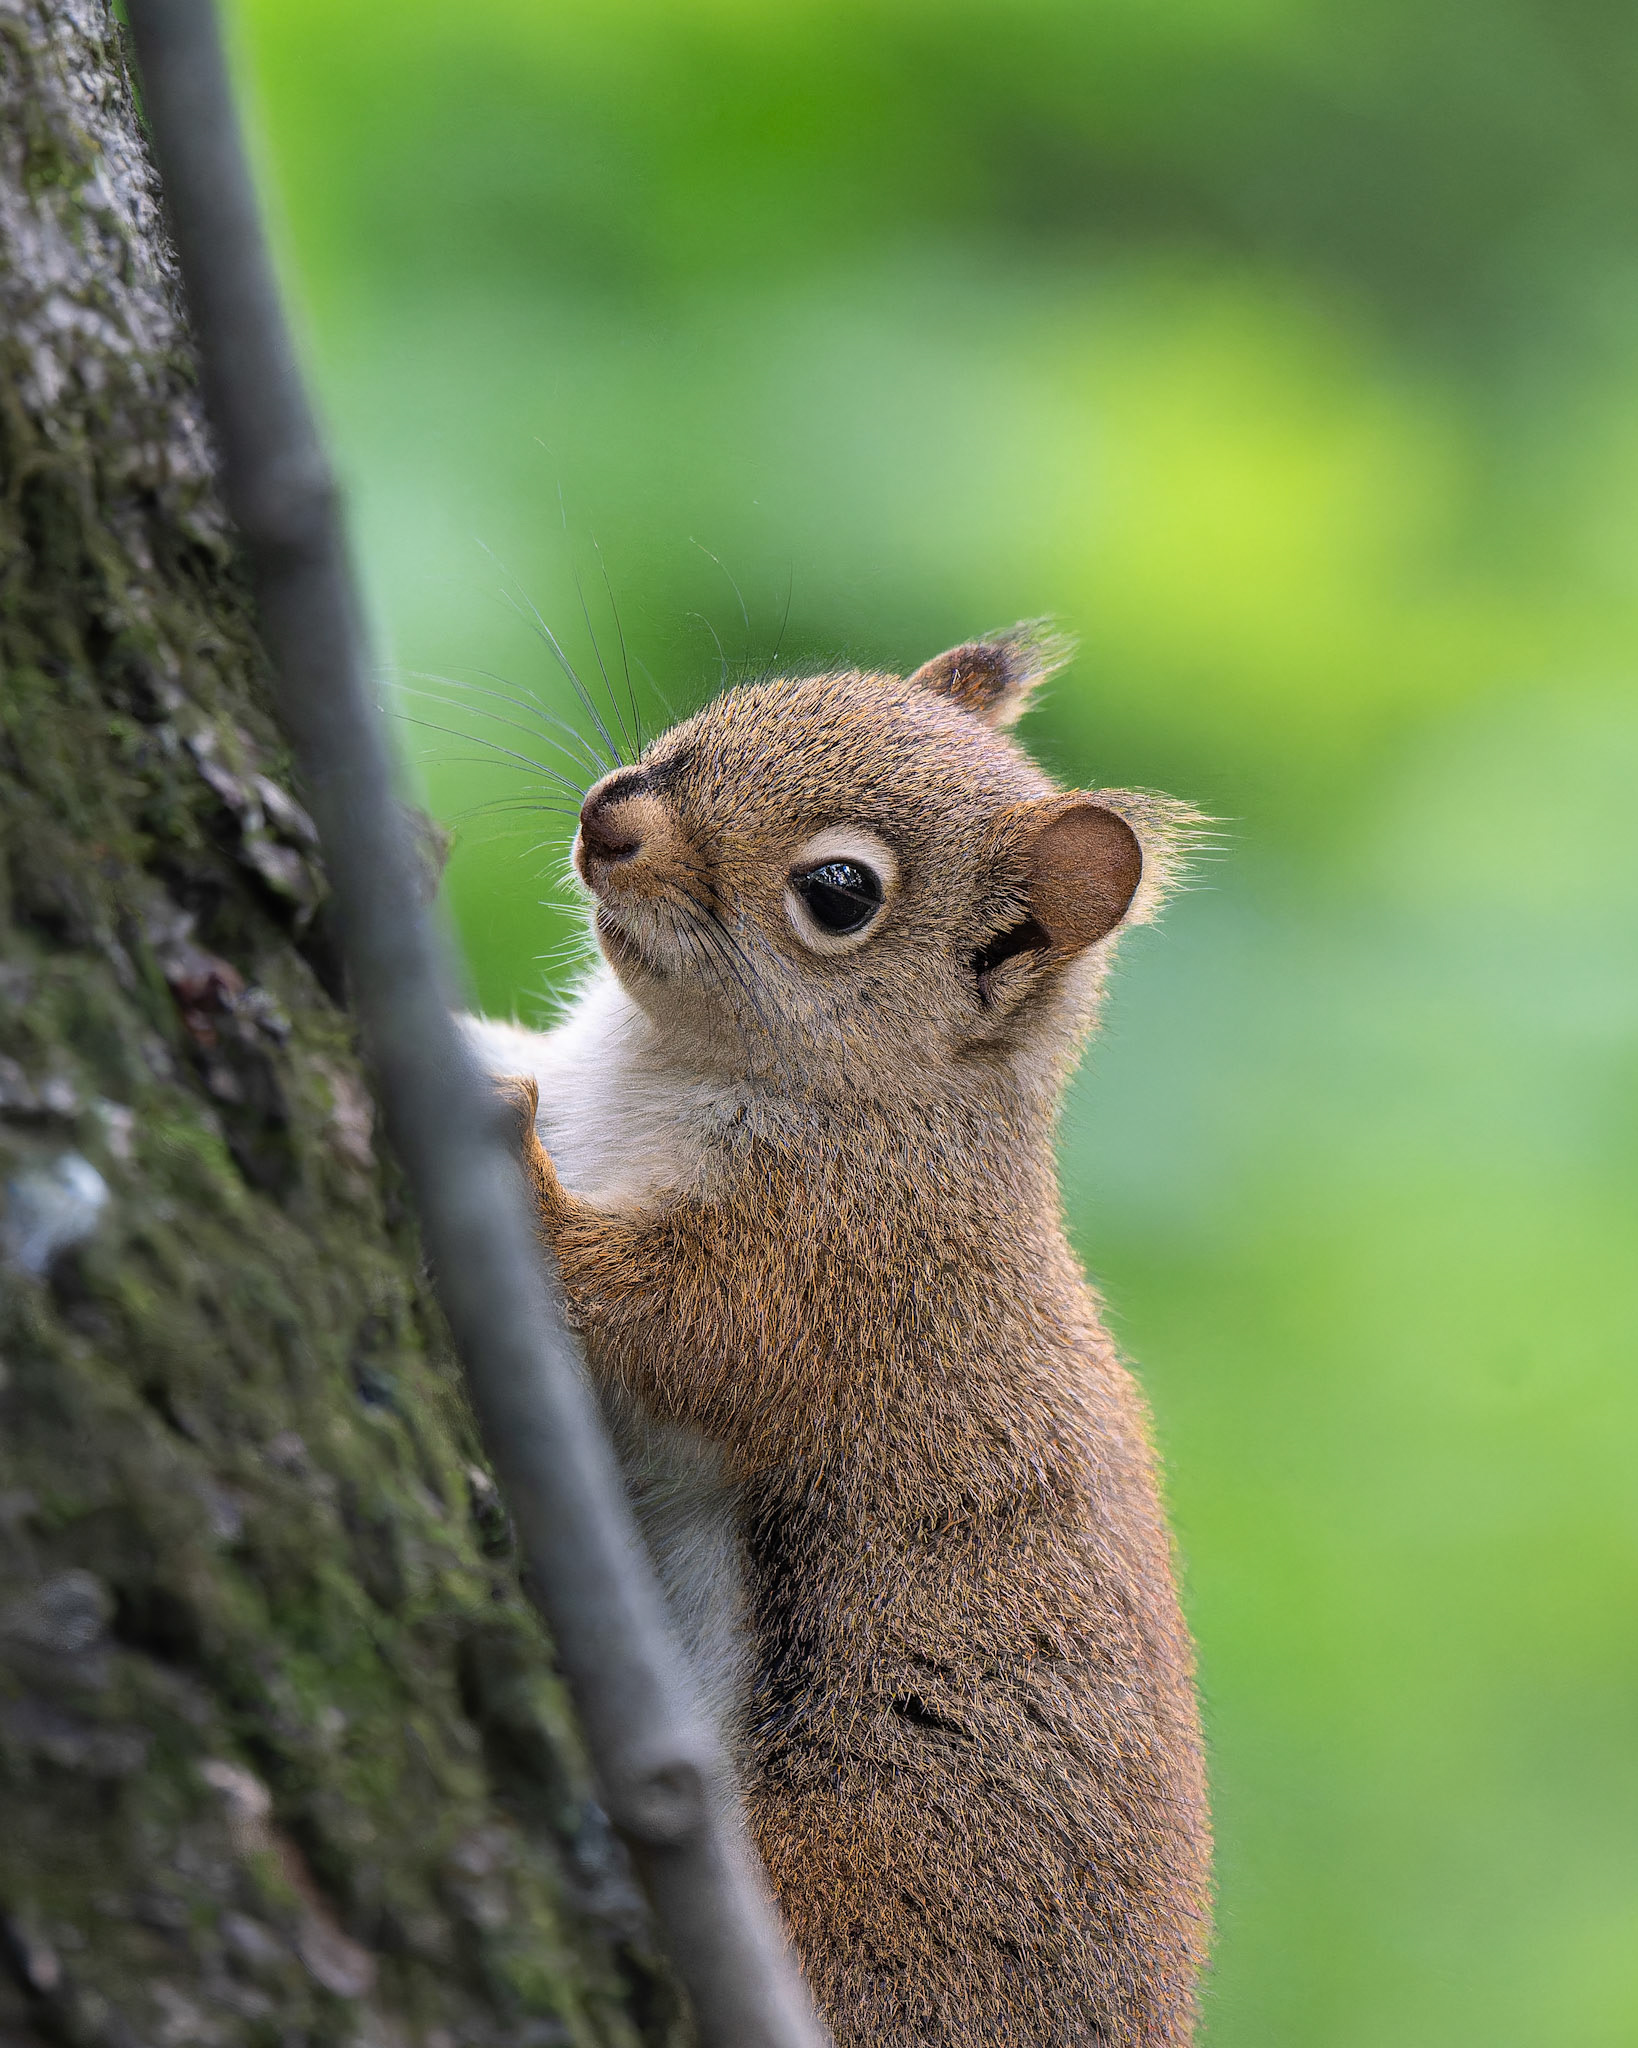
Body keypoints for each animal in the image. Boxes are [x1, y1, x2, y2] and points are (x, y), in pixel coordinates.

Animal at [464, 627, 1211, 2046]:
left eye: (839, 892)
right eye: (754, 693)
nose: (609, 819)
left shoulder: (835, 1260)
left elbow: (671, 1323)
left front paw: (516, 1172)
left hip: (844, 1888)